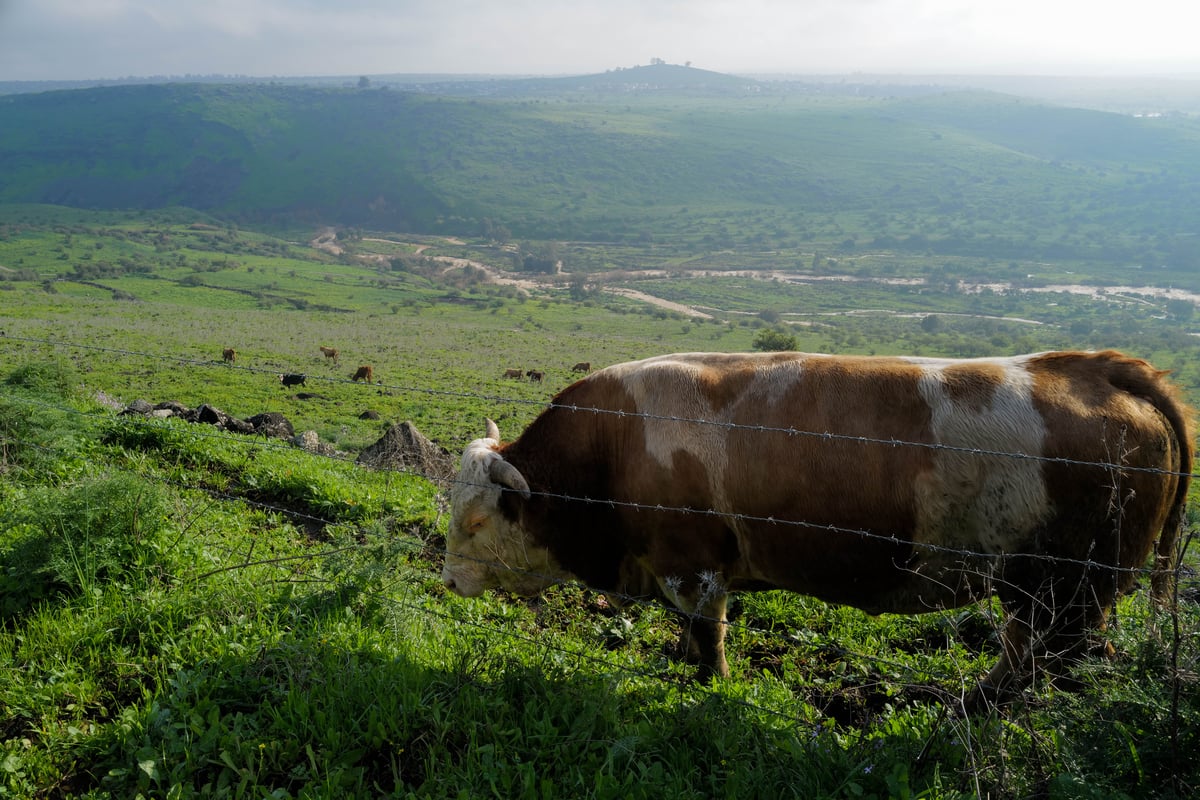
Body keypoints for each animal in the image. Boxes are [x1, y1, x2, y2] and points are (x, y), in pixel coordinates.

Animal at [446, 350, 1195, 705]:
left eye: (477, 520)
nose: (449, 580)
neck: (613, 446)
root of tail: (1100, 371)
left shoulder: (693, 567)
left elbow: (709, 637)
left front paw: (709, 683)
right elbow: (691, 635)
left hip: (1069, 589)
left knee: (1041, 660)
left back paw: (969, 712)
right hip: (1046, 590)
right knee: (1033, 655)